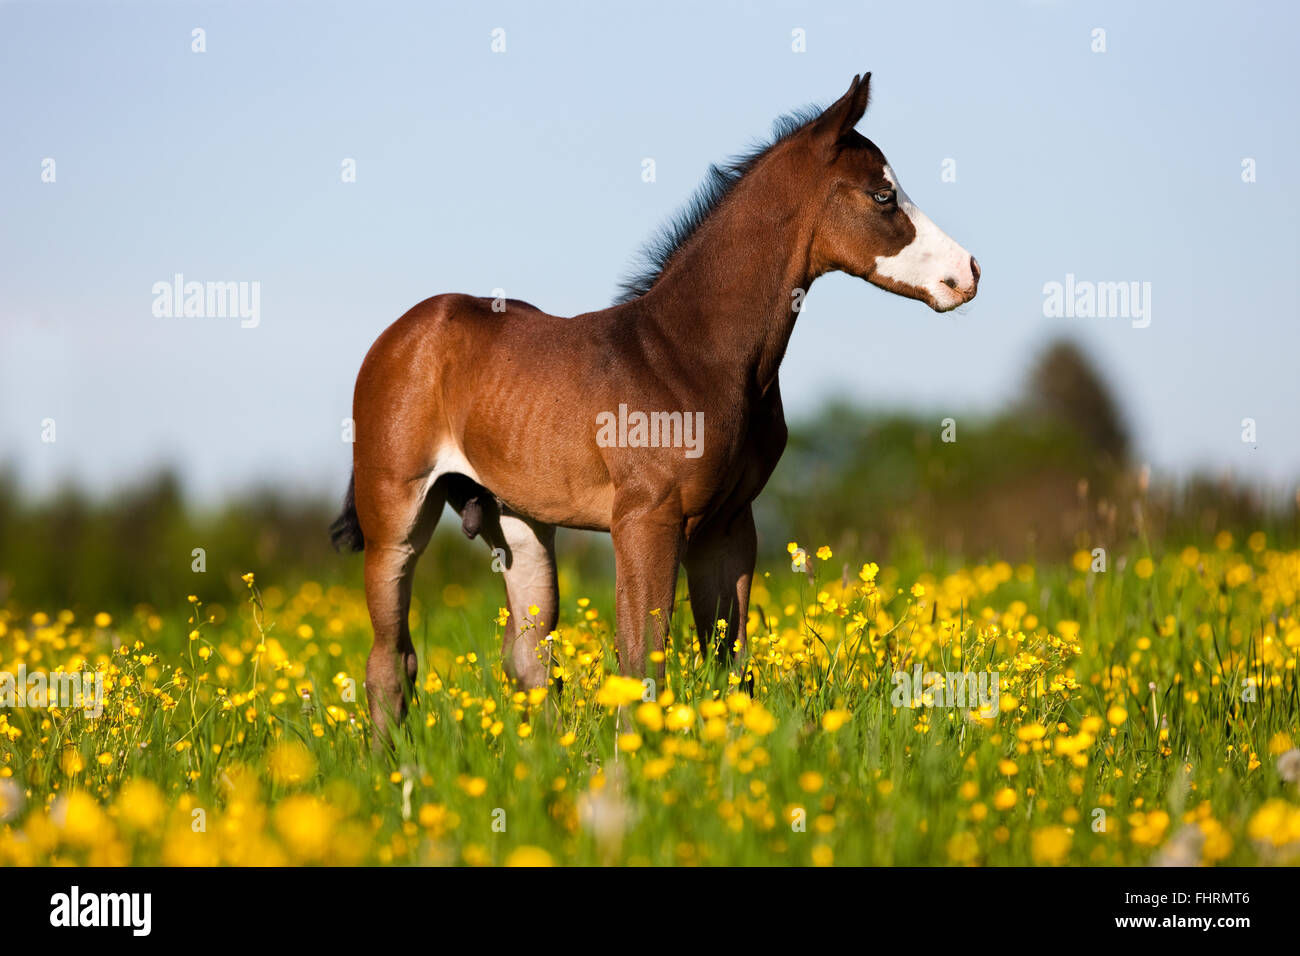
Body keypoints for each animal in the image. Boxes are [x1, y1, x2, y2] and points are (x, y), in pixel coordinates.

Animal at [331, 73, 979, 738]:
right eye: (883, 195)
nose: (967, 273)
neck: (693, 353)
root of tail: (400, 335)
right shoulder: (646, 518)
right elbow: (643, 659)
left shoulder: (728, 524)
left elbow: (729, 662)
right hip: (396, 512)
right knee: (390, 658)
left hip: (519, 522)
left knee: (527, 653)